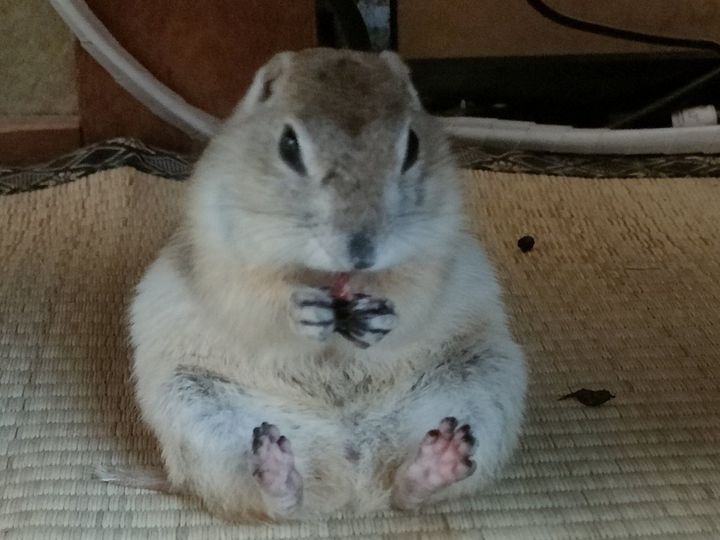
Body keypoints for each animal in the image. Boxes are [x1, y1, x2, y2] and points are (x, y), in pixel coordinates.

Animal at [111, 48, 527, 522]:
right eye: (288, 146)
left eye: (413, 146)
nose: (362, 251)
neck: (328, 275)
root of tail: (351, 480)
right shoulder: (219, 244)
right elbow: (250, 294)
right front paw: (300, 310)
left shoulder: (438, 238)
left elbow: (415, 287)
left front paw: (381, 317)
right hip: (196, 412)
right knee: (278, 504)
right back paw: (277, 472)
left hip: (481, 388)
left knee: (406, 495)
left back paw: (437, 463)